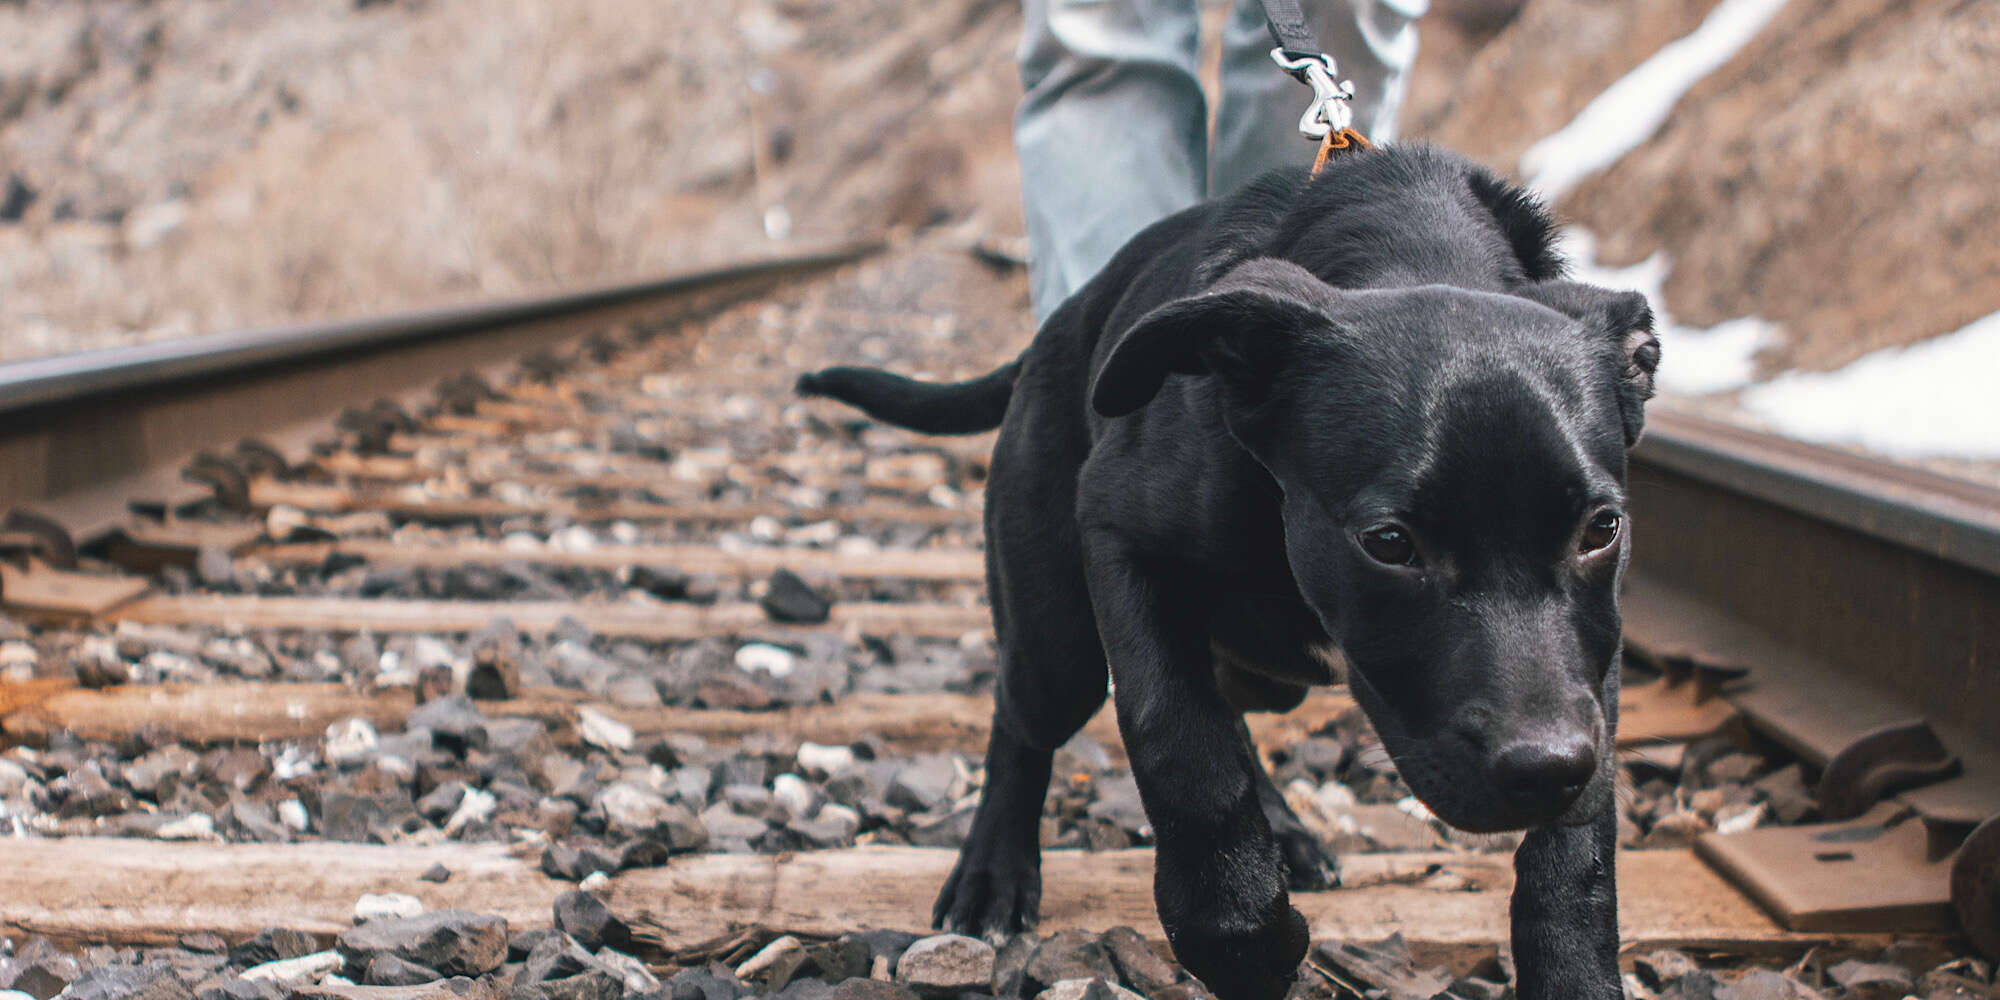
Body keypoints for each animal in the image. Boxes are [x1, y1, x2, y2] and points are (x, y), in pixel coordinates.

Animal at [796, 143, 1656, 1000]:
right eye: (1388, 542)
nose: (1545, 770)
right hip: (1057, 637)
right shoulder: (1118, 537)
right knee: (1025, 722)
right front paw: (1241, 934)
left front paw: (1573, 973)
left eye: (1602, 529)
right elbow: (1179, 743)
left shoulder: (1595, 659)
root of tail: (1055, 332)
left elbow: (1578, 846)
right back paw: (992, 876)